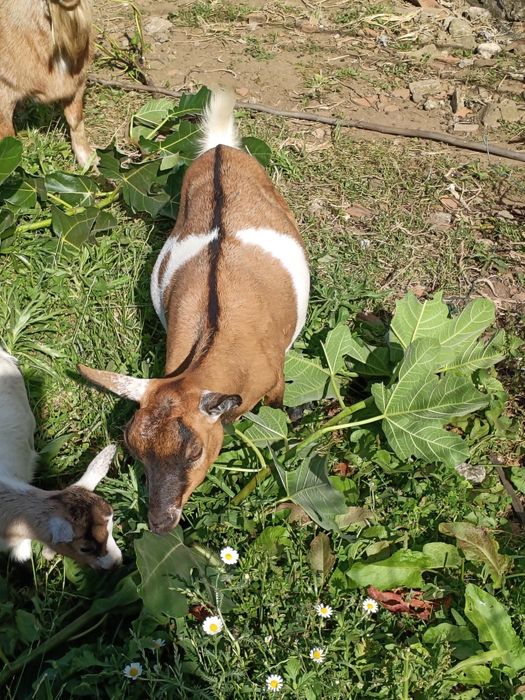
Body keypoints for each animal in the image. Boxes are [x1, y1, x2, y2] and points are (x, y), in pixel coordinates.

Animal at [78, 92, 310, 533]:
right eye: (134, 451)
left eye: (194, 452)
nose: (160, 522)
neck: (213, 341)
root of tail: (219, 147)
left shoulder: (273, 377)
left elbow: (277, 408)